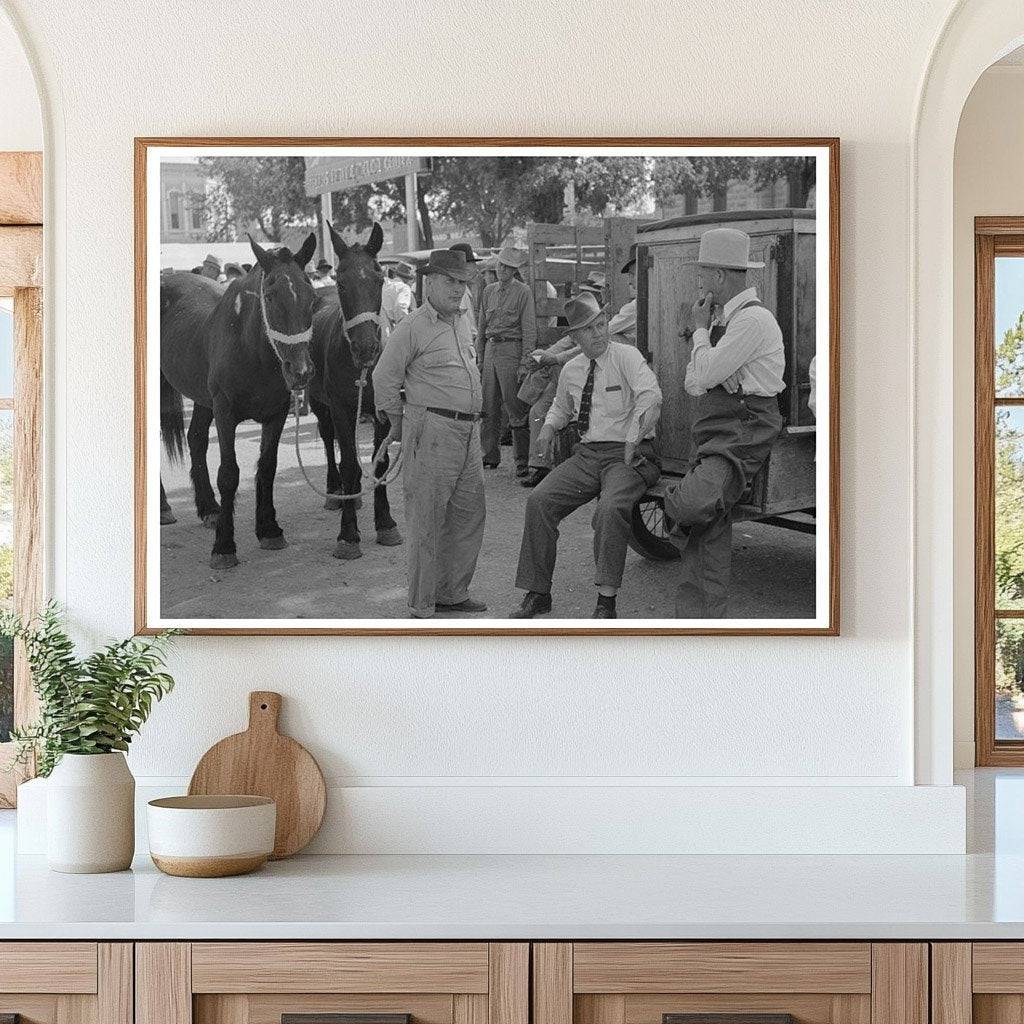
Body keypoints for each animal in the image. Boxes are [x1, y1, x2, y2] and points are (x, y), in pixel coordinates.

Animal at [159, 231, 317, 569]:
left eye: (312, 297)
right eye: (269, 297)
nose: (300, 371)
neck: (252, 350)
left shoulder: (276, 414)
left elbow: (267, 467)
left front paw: (269, 529)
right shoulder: (225, 412)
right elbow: (229, 474)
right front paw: (224, 545)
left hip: (202, 398)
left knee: (195, 439)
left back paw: (209, 508)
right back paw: (165, 507)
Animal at [307, 222, 399, 561]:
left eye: (379, 279)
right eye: (342, 282)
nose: (366, 347)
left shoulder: (384, 409)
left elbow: (380, 462)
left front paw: (385, 523)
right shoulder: (339, 408)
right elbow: (347, 463)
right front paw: (348, 534)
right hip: (319, 403)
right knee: (327, 438)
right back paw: (337, 493)